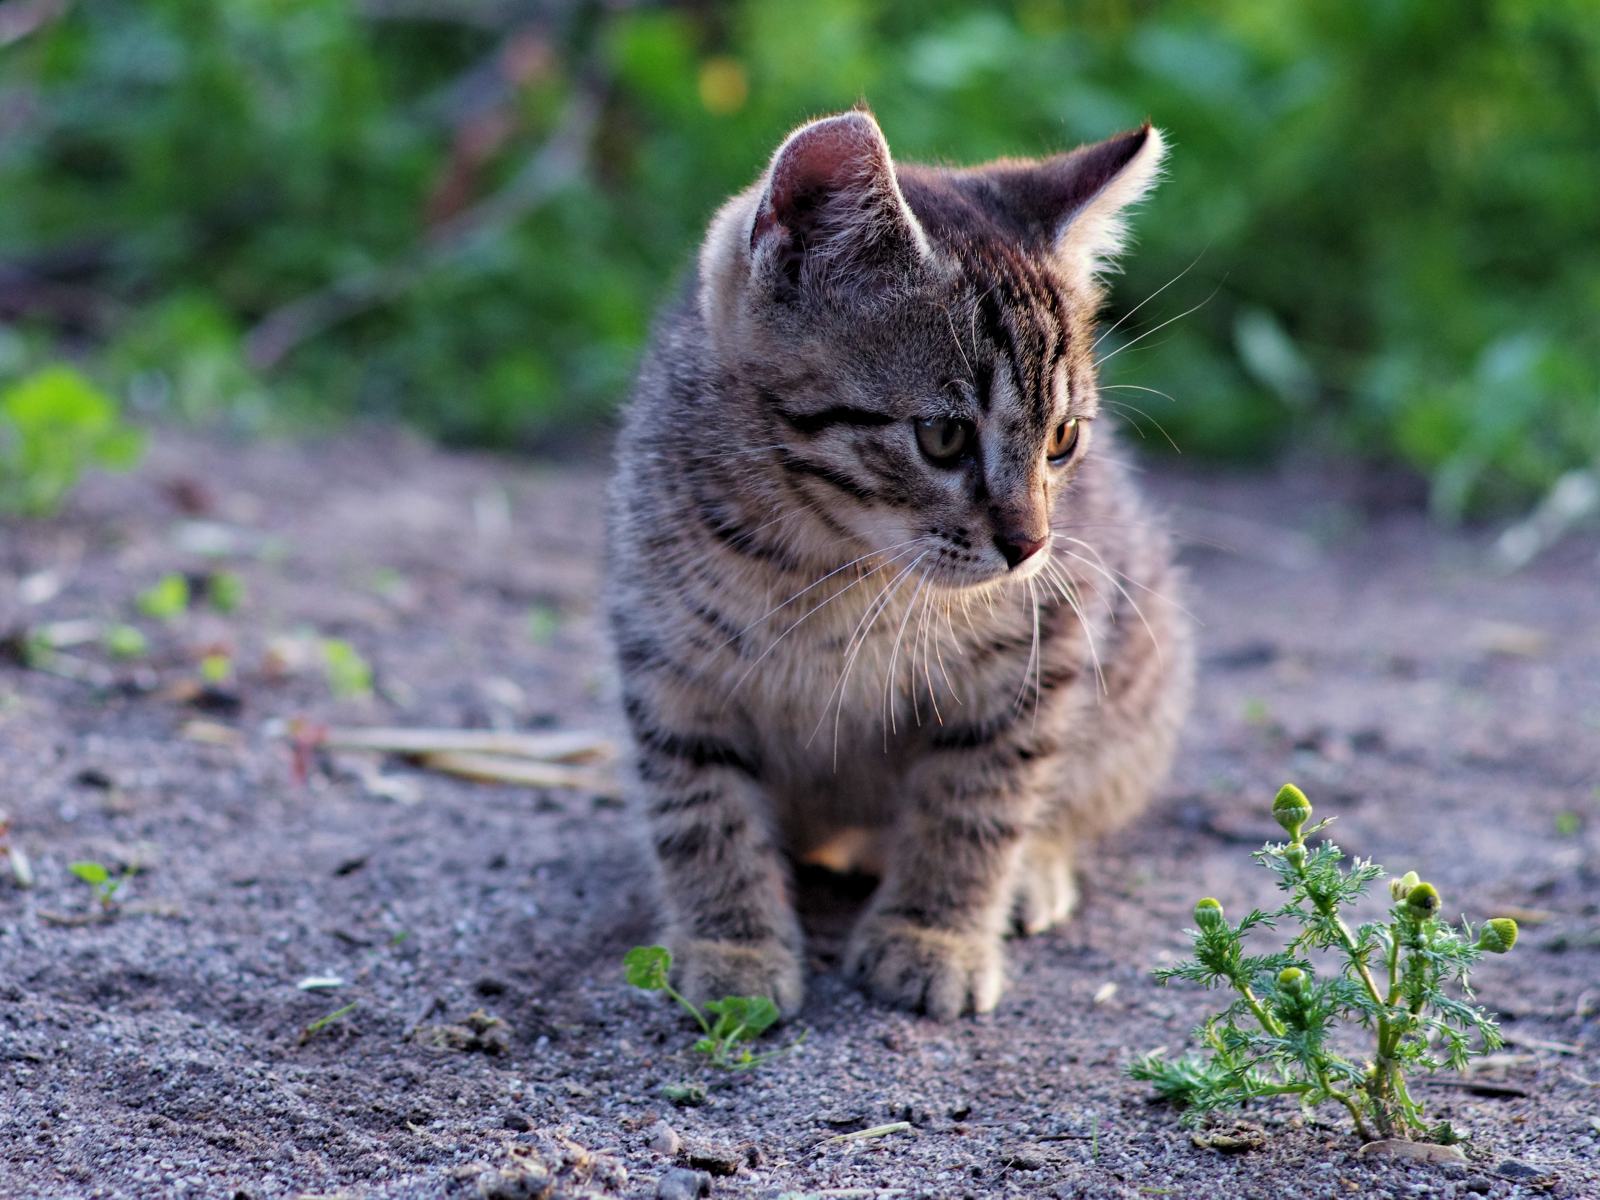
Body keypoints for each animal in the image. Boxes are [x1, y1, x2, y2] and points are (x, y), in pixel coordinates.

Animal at [604, 112, 1196, 1017]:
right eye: (942, 436)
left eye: (1063, 440)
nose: (1029, 545)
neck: (830, 566)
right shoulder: (667, 656)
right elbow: (699, 810)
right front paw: (730, 944)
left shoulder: (1044, 645)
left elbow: (977, 799)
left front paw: (934, 933)